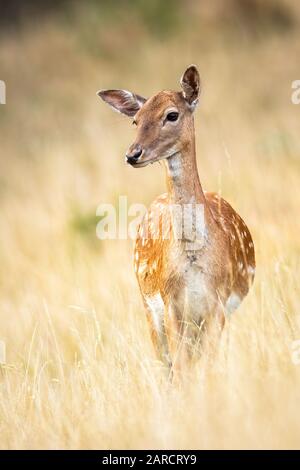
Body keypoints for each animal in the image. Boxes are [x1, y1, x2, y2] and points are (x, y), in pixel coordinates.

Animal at [98, 65, 255, 374]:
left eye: (172, 114)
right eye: (135, 120)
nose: (132, 154)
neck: (194, 259)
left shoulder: (218, 302)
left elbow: (208, 365)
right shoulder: (169, 302)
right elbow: (181, 368)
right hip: (148, 307)